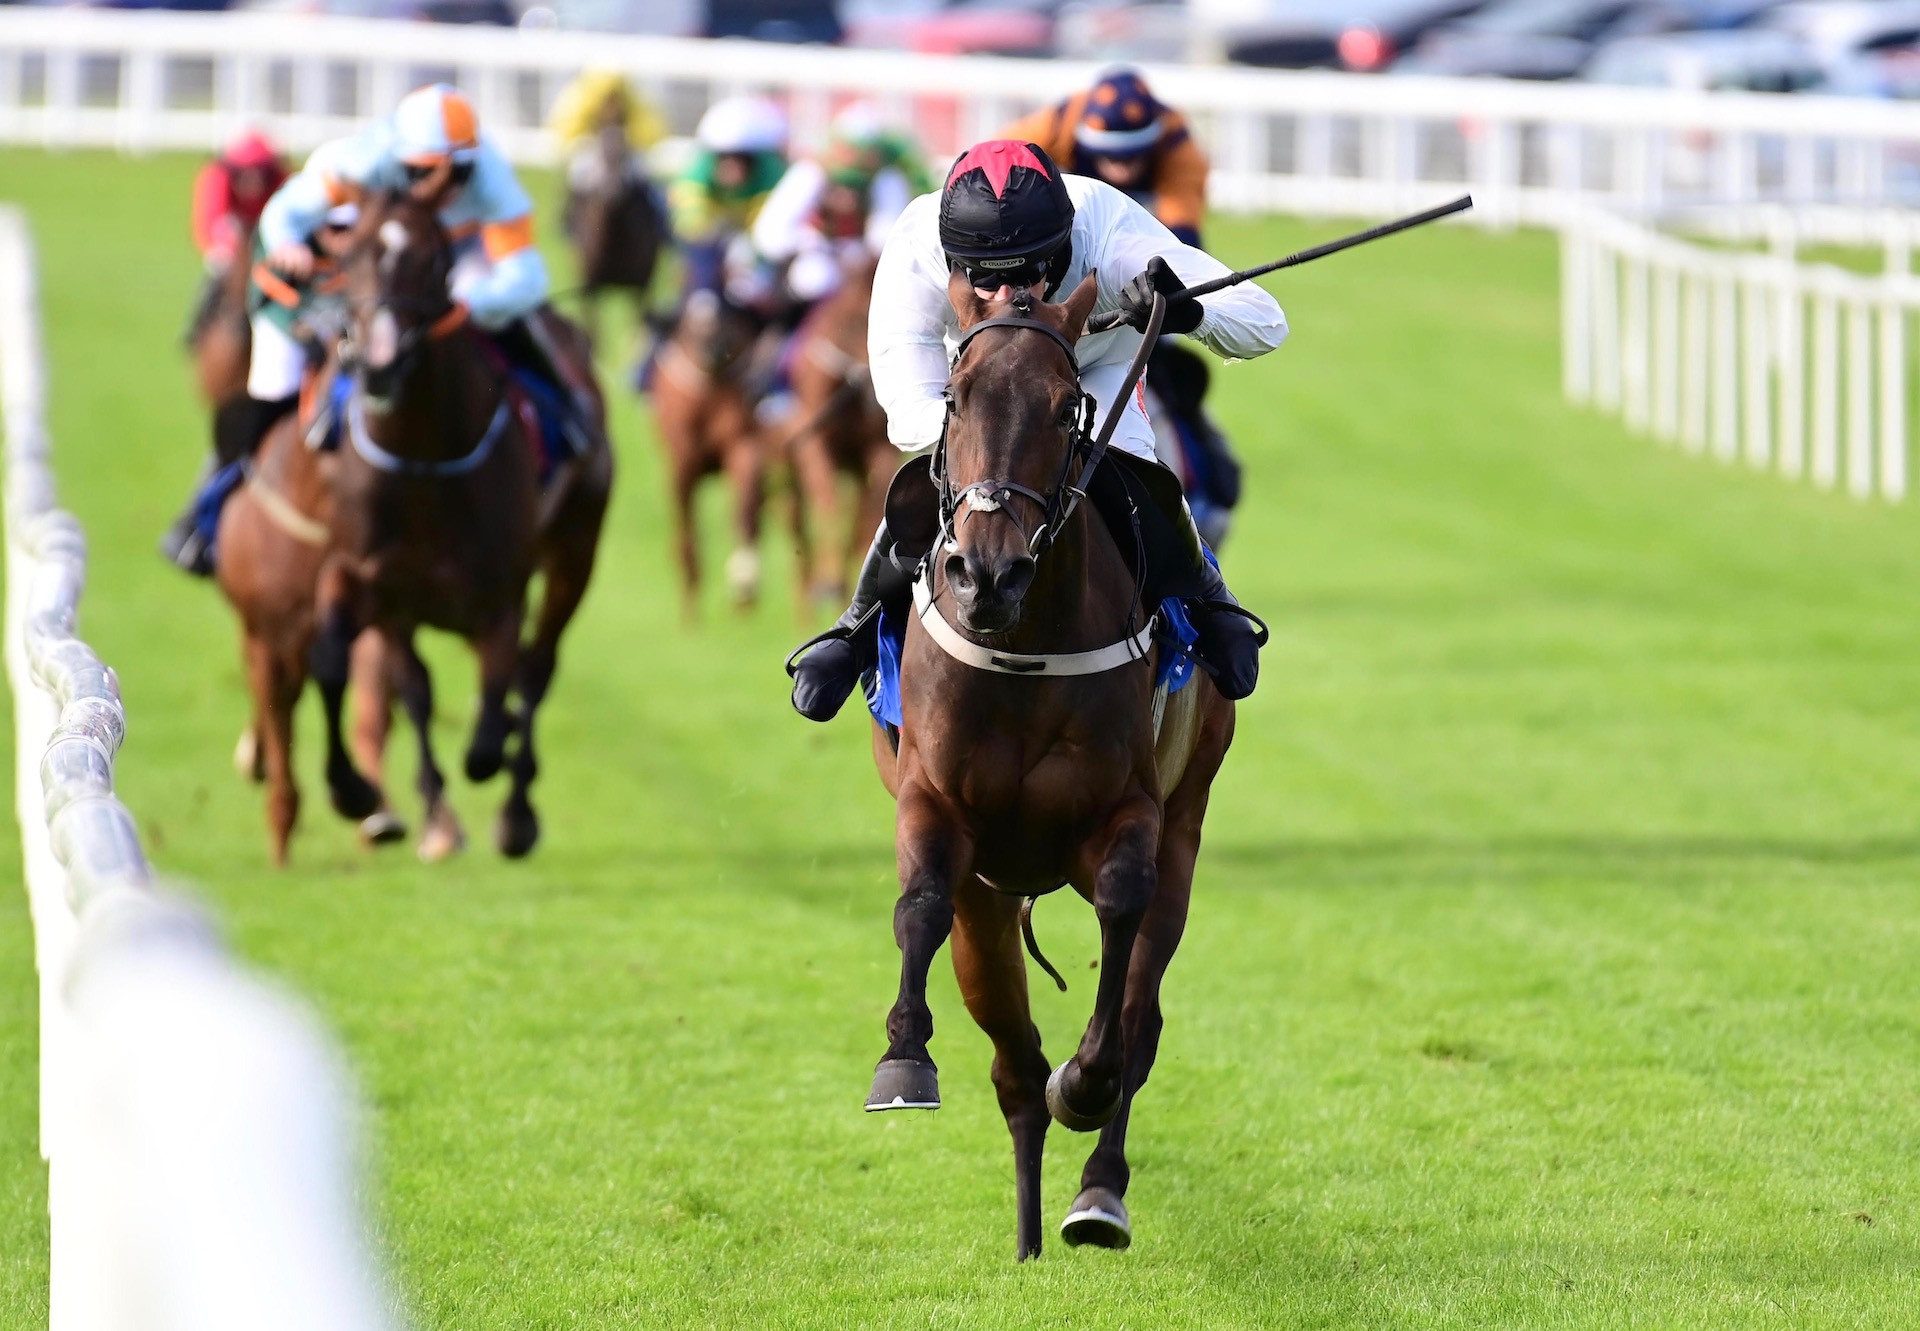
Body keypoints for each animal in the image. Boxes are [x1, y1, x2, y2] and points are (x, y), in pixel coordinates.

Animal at [314, 196, 610, 860]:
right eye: (347, 255)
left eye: (435, 261)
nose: (379, 364)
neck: (423, 464)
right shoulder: (377, 586)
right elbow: (380, 678)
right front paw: (356, 790)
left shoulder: (500, 596)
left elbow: (489, 728)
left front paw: (498, 769)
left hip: (575, 552)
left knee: (536, 669)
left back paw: (518, 811)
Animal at [560, 118, 668, 355]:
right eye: (602, 153)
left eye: (624, 153)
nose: (613, 191)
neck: (615, 244)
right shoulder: (589, 284)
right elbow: (594, 331)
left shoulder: (642, 283)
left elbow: (638, 326)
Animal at [652, 286, 771, 618]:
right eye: (690, 324)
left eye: (728, 311)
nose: (714, 348)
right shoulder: (682, 464)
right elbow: (687, 526)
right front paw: (691, 600)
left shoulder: (744, 444)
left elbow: (745, 508)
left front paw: (744, 581)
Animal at [783, 253, 894, 610]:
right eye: (861, 322)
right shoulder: (814, 446)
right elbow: (828, 506)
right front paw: (827, 583)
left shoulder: (877, 452)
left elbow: (866, 517)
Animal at [867, 272, 1236, 1259]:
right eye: (957, 397)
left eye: (1067, 405)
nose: (986, 573)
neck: (1024, 641)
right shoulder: (934, 805)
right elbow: (920, 903)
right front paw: (903, 1057)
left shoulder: (1134, 811)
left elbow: (1120, 924)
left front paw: (1089, 1081)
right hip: (992, 904)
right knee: (1013, 1060)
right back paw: (1028, 1230)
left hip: (1189, 815)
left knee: (1133, 1015)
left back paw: (1096, 1191)